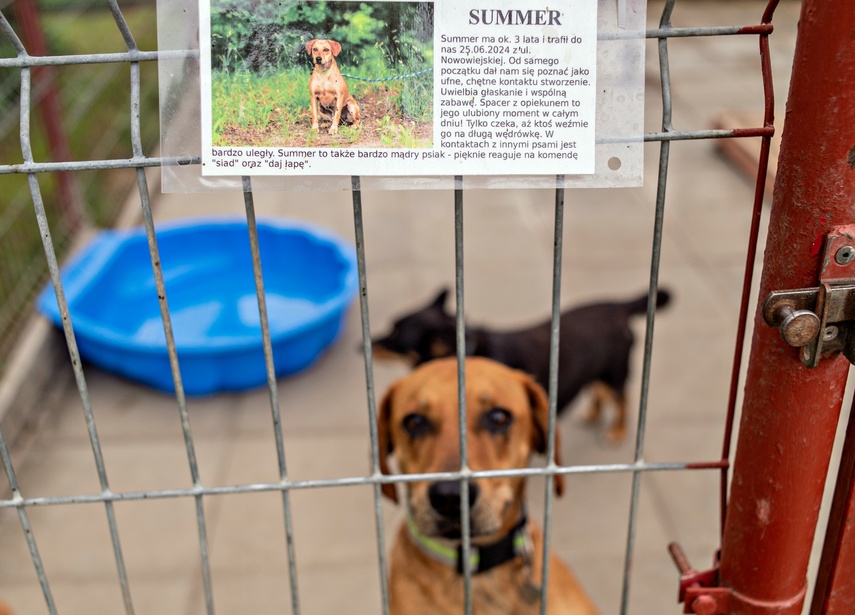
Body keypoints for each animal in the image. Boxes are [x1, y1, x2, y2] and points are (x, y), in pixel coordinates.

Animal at [372, 288, 672, 442]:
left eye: (395, 336)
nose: (365, 345)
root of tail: (616, 306)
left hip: (614, 373)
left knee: (622, 398)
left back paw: (618, 430)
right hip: (596, 370)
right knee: (598, 391)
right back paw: (593, 414)